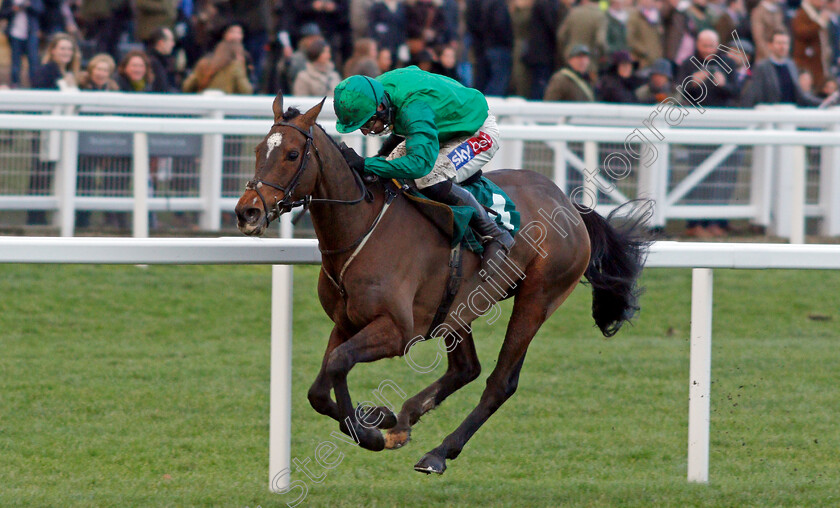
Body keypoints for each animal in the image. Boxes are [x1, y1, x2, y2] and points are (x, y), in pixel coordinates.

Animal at [233, 93, 652, 474]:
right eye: (257, 149)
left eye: (291, 155)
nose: (247, 212)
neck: (362, 227)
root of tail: (570, 205)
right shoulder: (346, 322)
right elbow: (320, 388)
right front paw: (380, 419)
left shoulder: (397, 331)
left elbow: (338, 364)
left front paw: (370, 430)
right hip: (458, 306)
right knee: (466, 369)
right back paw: (405, 419)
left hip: (538, 298)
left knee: (500, 382)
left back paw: (439, 453)